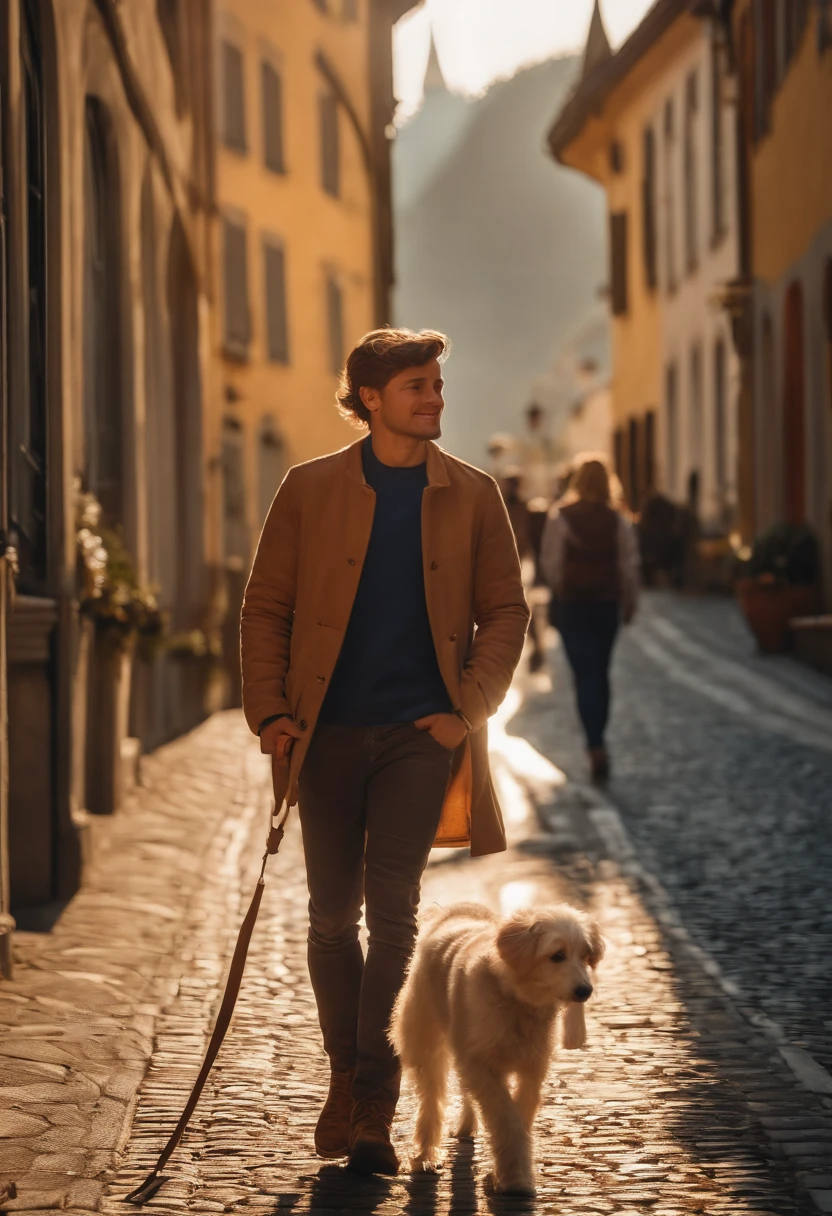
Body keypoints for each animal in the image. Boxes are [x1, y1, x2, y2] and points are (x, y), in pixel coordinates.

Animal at [389, 904, 603, 1196]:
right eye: (557, 955)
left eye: (585, 955)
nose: (585, 990)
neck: (516, 1001)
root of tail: (452, 910)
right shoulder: (481, 1066)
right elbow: (505, 1118)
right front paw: (514, 1178)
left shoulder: (531, 1069)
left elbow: (521, 1115)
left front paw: (505, 1173)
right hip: (427, 1044)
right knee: (431, 1101)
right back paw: (425, 1157)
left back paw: (466, 1125)